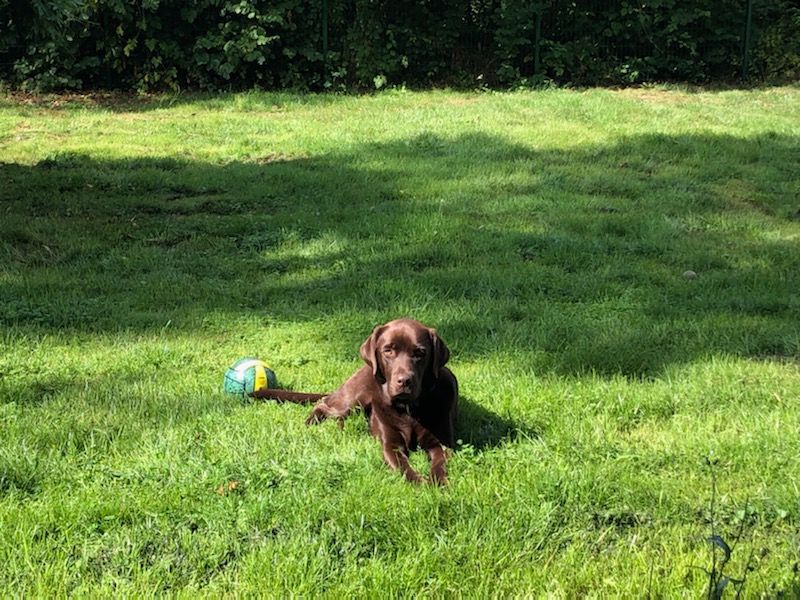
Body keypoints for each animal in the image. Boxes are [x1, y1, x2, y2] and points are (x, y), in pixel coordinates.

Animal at [306, 318, 456, 482]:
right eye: (388, 351)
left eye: (420, 353)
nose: (404, 381)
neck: (408, 409)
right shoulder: (390, 445)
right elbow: (403, 468)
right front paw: (421, 483)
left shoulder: (441, 444)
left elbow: (440, 464)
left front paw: (437, 483)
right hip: (353, 400)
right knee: (322, 405)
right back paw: (311, 423)